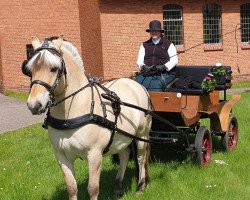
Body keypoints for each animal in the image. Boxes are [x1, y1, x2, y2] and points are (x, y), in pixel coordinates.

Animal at [23, 34, 151, 200]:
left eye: (54, 68)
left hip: (142, 134)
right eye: (30, 70)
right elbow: (71, 188)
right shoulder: (61, 156)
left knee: (141, 158)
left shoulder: (94, 155)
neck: (70, 116)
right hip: (121, 136)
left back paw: (140, 187)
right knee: (124, 154)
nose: (34, 105)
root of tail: (135, 84)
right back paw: (118, 187)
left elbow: (93, 189)